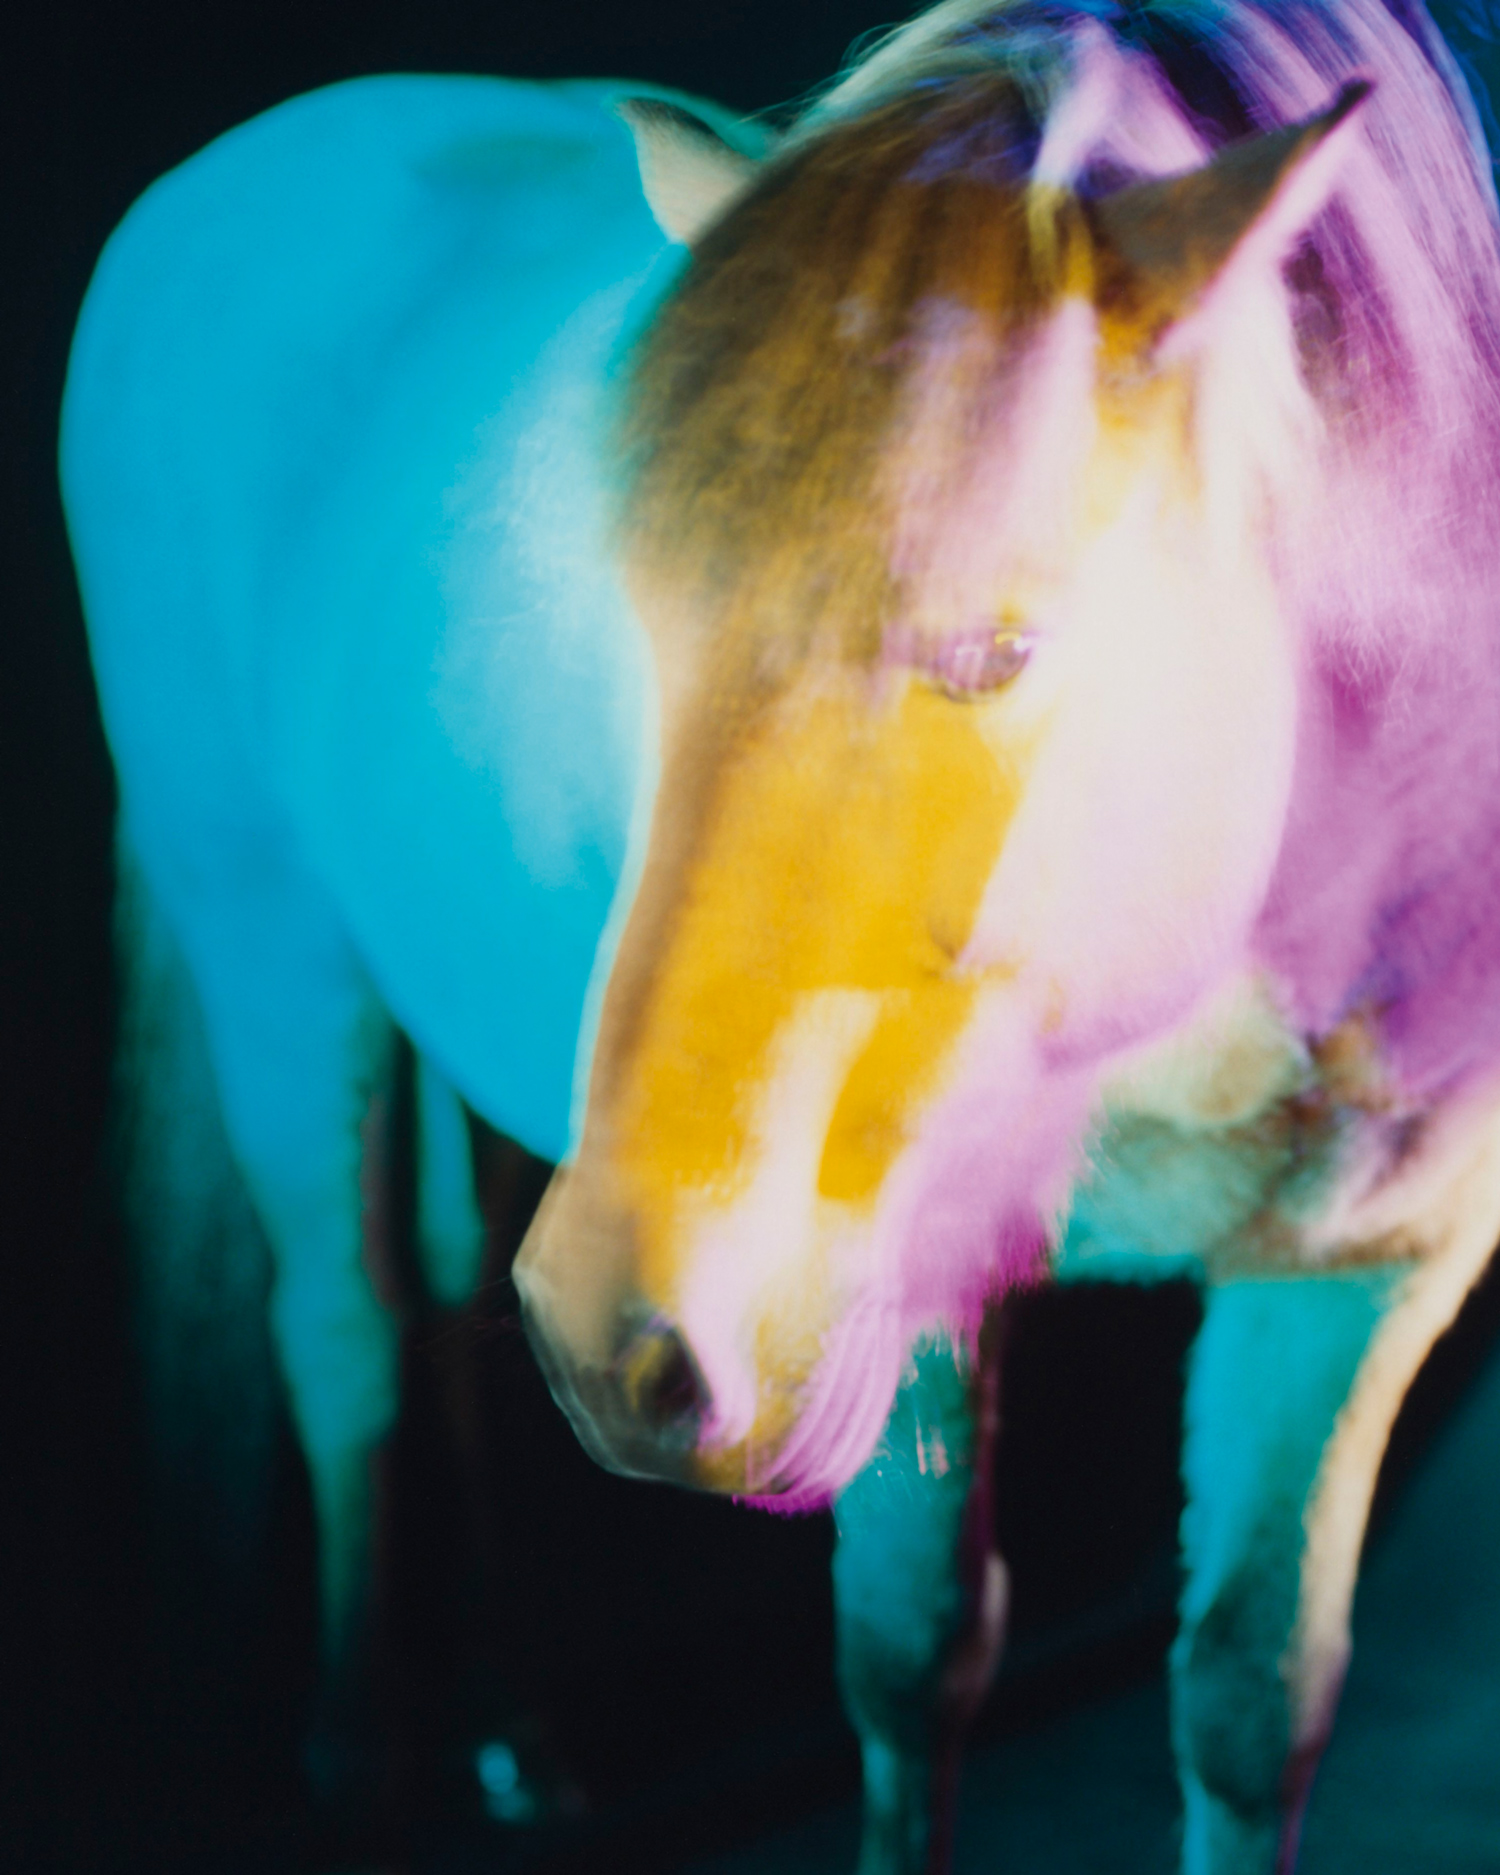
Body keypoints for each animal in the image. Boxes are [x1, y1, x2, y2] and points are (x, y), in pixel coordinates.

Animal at [64, 0, 1500, 1867]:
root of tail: (218, 177)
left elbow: (1255, 1700)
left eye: (996, 655)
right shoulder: (874, 1264)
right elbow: (910, 1656)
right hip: (269, 936)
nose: (626, 1340)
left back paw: (507, 1727)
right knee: (346, 1327)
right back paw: (359, 1756)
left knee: (438, 1294)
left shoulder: (1361, 1273)